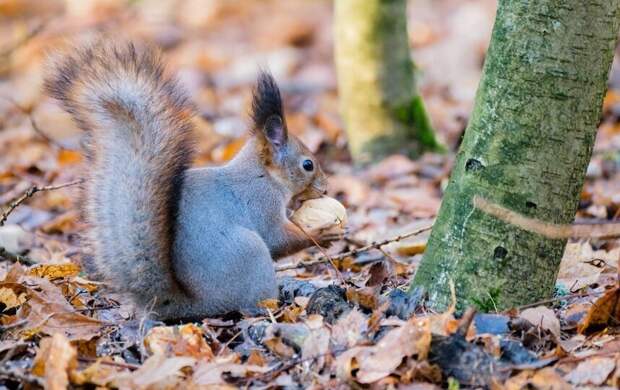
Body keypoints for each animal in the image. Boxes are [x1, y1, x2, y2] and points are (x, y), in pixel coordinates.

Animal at [44, 41, 336, 322]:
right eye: (307, 165)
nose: (325, 187)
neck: (264, 175)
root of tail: (182, 304)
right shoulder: (261, 204)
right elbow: (276, 238)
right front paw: (322, 234)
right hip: (250, 254)